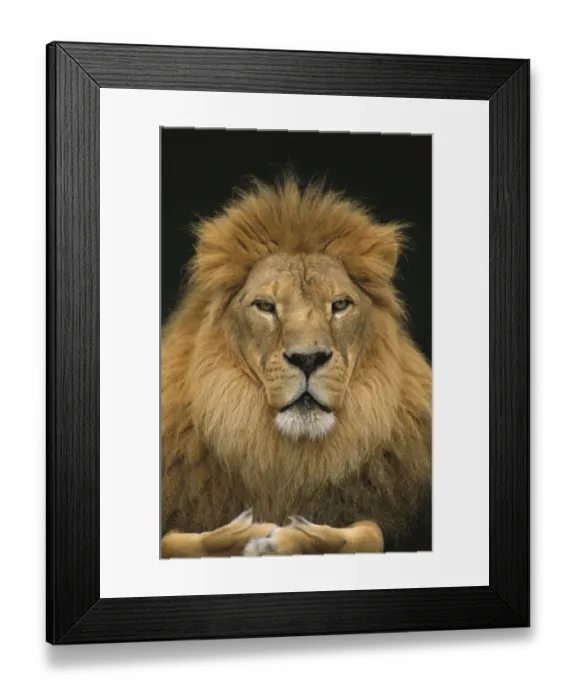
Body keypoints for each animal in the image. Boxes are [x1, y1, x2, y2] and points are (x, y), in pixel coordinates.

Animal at [161, 177, 432, 558]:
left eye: (340, 305)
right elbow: (175, 540)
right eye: (265, 306)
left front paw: (298, 533)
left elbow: (371, 533)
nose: (308, 359)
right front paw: (244, 533)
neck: (289, 456)